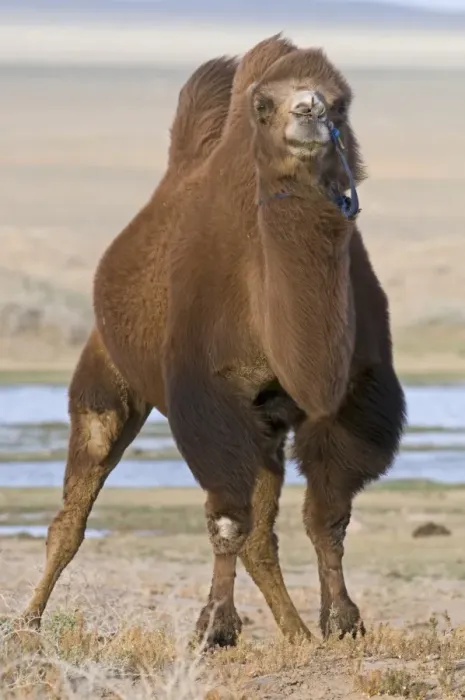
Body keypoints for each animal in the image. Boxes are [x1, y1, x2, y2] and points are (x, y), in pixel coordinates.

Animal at [21, 34, 406, 647]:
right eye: (263, 105)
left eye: (341, 102)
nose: (310, 111)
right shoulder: (210, 399)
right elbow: (228, 518)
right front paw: (216, 628)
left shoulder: (350, 402)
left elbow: (327, 516)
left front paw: (342, 623)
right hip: (108, 379)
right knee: (73, 514)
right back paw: (28, 622)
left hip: (267, 428)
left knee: (262, 534)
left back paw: (296, 632)